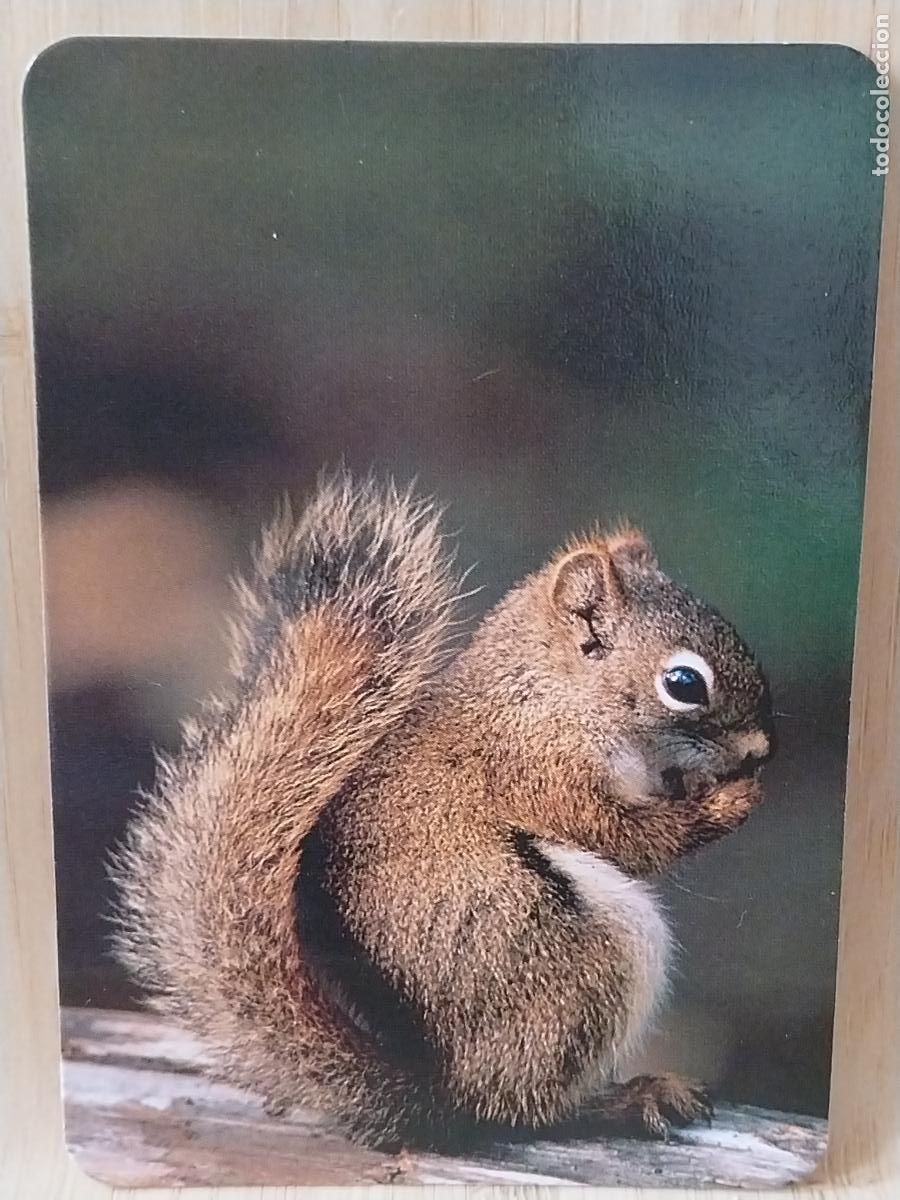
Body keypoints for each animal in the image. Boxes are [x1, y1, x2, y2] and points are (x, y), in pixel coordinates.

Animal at [111, 471, 774, 1150]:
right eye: (684, 683)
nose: (760, 750)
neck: (549, 694)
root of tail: (441, 1096)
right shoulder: (541, 771)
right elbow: (627, 837)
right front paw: (727, 802)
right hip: (581, 962)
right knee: (523, 1109)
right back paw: (622, 1100)